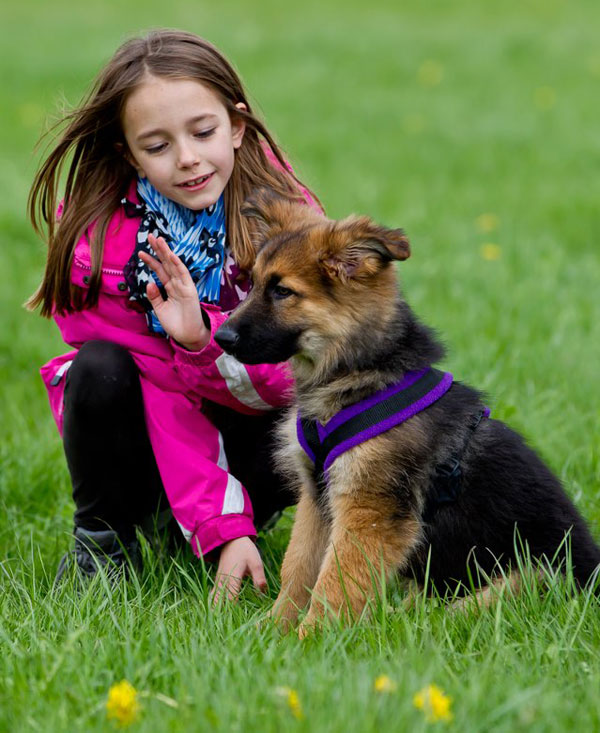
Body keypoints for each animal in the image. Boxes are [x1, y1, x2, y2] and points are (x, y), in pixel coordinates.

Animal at [213, 190, 596, 636]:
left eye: (282, 291)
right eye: (253, 284)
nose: (219, 337)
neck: (361, 374)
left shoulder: (370, 511)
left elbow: (335, 581)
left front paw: (310, 638)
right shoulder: (318, 495)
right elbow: (299, 568)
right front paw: (273, 630)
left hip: (535, 578)